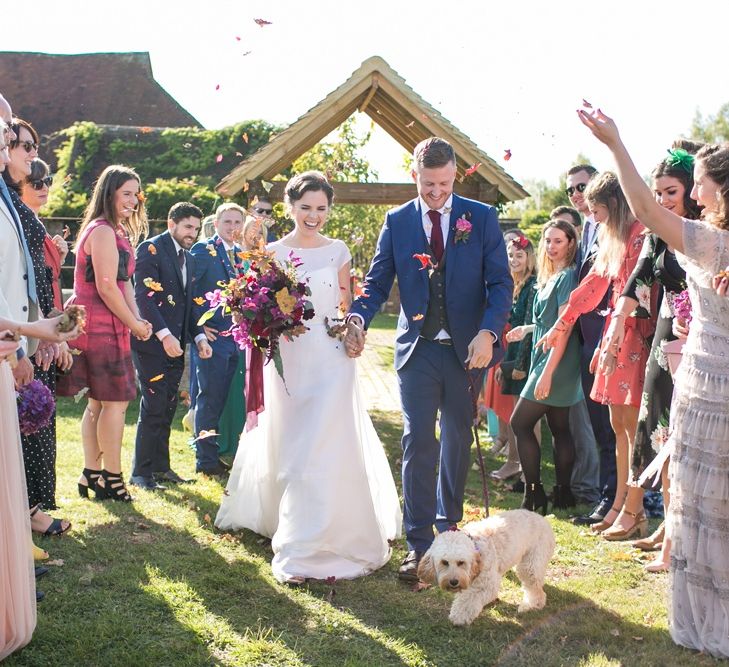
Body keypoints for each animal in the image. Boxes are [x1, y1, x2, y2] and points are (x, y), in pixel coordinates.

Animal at [416, 512, 552, 628]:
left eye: (461, 562)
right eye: (444, 562)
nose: (453, 582)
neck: (475, 544)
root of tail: (542, 518)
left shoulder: (486, 583)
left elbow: (468, 600)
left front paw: (459, 617)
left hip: (530, 566)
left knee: (536, 589)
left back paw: (531, 605)